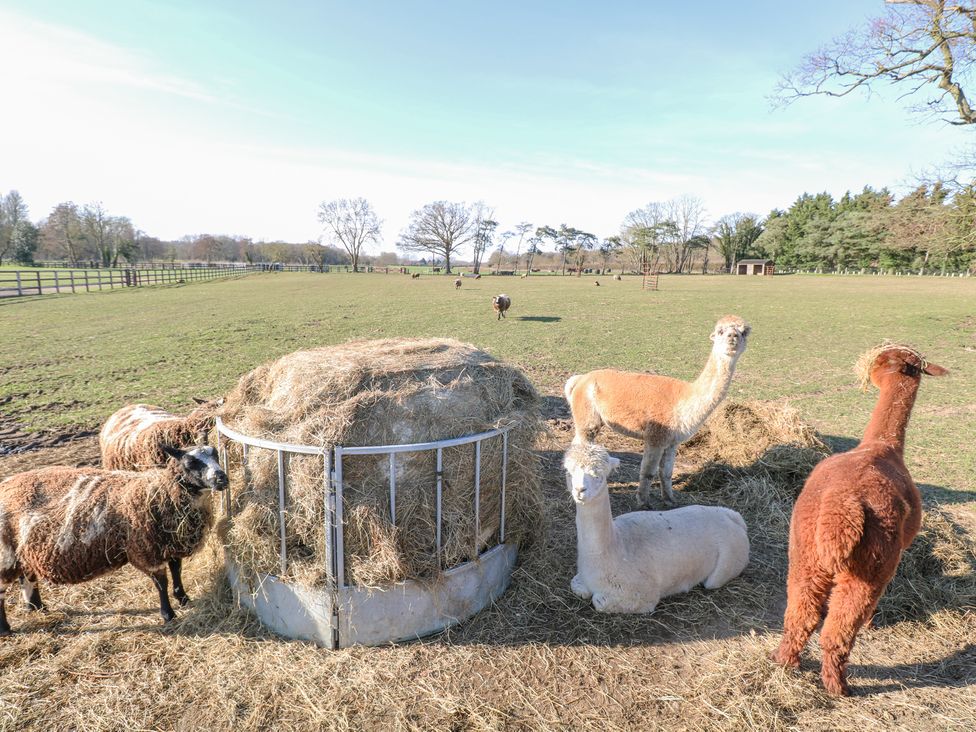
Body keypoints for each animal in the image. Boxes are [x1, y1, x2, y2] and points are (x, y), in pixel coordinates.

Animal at [0, 444, 227, 632]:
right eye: (190, 463)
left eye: (215, 454)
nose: (222, 479)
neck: (160, 492)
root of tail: (6, 483)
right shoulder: (146, 549)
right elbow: (161, 582)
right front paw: (168, 615)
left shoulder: (170, 543)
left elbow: (176, 570)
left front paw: (183, 598)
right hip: (5, 553)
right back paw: (6, 629)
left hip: (23, 551)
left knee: (26, 576)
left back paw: (36, 607)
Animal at [564, 314, 748, 504]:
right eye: (720, 331)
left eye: (744, 332)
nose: (733, 336)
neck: (684, 398)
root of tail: (581, 379)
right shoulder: (655, 437)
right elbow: (648, 472)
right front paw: (643, 502)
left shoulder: (672, 441)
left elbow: (666, 472)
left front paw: (669, 500)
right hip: (587, 419)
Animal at [564, 444, 748, 616]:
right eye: (568, 471)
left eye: (599, 475)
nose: (580, 490)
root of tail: (735, 519)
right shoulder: (582, 579)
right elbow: (576, 585)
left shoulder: (642, 594)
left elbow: (598, 601)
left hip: (728, 563)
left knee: (714, 581)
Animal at [772, 346, 944, 696]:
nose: (867, 371)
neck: (881, 444)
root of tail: (841, 505)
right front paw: (872, 622)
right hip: (871, 564)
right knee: (838, 629)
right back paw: (839, 686)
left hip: (805, 553)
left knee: (800, 615)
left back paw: (786, 662)